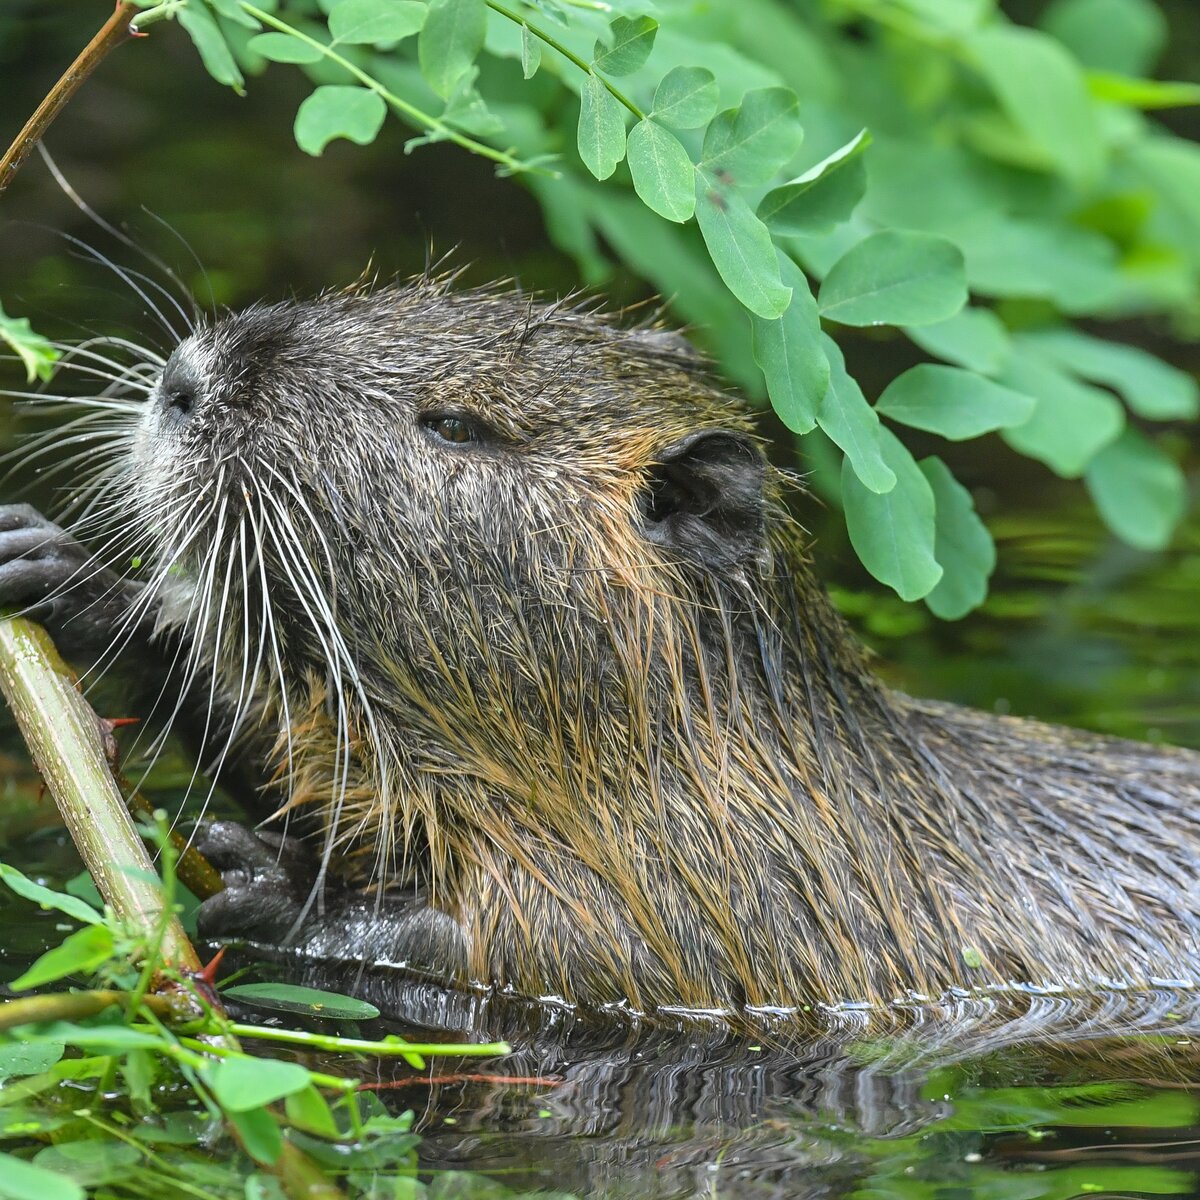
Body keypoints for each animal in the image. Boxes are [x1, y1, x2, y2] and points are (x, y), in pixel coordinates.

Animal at [2, 276, 1200, 1017]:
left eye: (455, 425)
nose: (184, 381)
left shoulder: (754, 905)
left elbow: (525, 950)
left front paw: (269, 879)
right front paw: (67, 575)